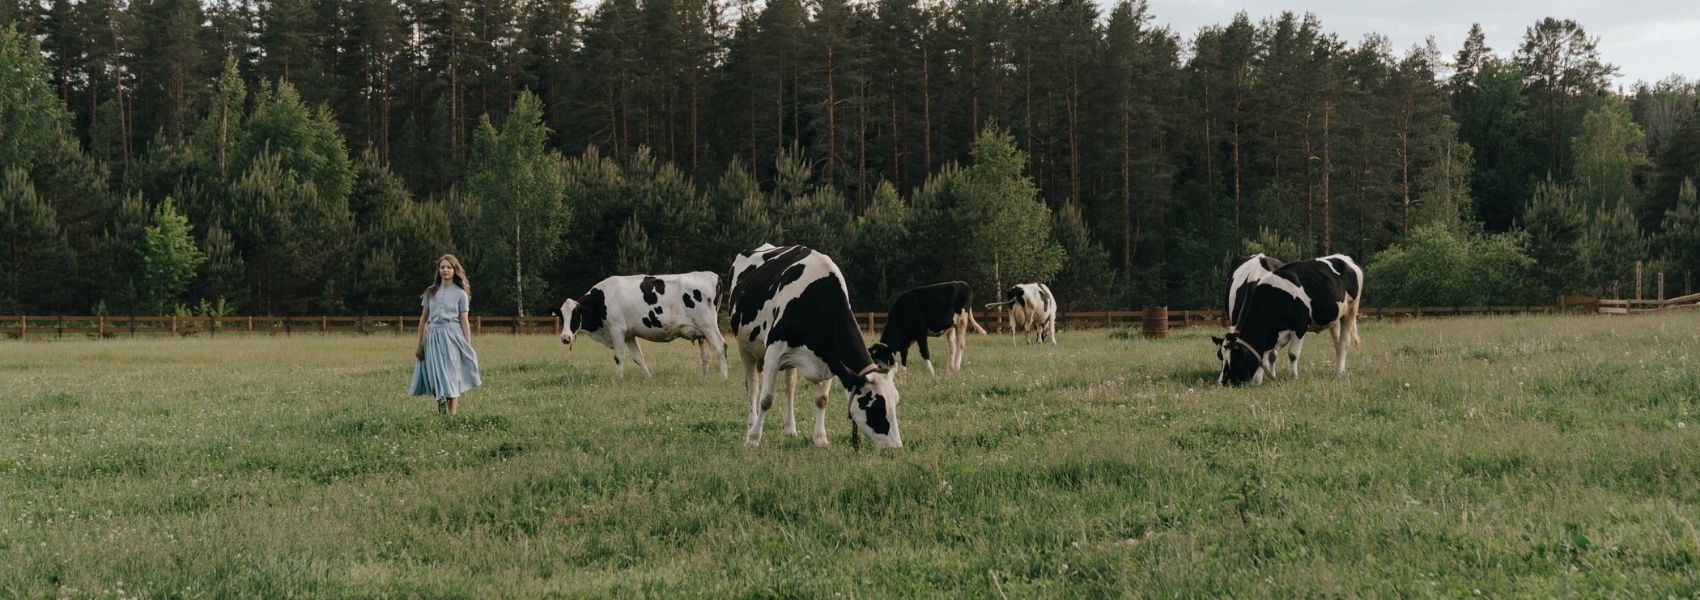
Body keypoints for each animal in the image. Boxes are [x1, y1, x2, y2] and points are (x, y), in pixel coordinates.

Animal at [550, 271, 724, 375]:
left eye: (575, 316)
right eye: (562, 317)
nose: (565, 338)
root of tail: (712, 275)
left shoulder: (617, 330)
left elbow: (619, 357)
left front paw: (618, 380)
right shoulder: (629, 334)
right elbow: (639, 357)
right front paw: (649, 378)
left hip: (708, 325)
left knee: (720, 346)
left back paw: (723, 377)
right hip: (701, 332)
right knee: (706, 356)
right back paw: (702, 378)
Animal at [731, 241, 904, 445]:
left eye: (896, 402)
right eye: (875, 405)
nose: (896, 447)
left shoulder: (831, 359)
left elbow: (821, 399)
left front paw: (820, 439)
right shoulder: (773, 351)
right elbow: (766, 399)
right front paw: (753, 439)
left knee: (789, 387)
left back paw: (790, 429)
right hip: (745, 348)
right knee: (752, 388)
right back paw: (750, 428)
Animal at [1210, 251, 1366, 384]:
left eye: (1236, 359)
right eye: (1220, 356)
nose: (1222, 382)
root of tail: (1346, 258)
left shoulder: (1300, 326)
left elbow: (1292, 354)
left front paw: (1293, 377)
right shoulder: (1271, 333)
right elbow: (1265, 354)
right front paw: (1260, 380)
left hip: (1351, 310)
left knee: (1344, 342)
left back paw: (1339, 372)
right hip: (1334, 317)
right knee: (1337, 342)